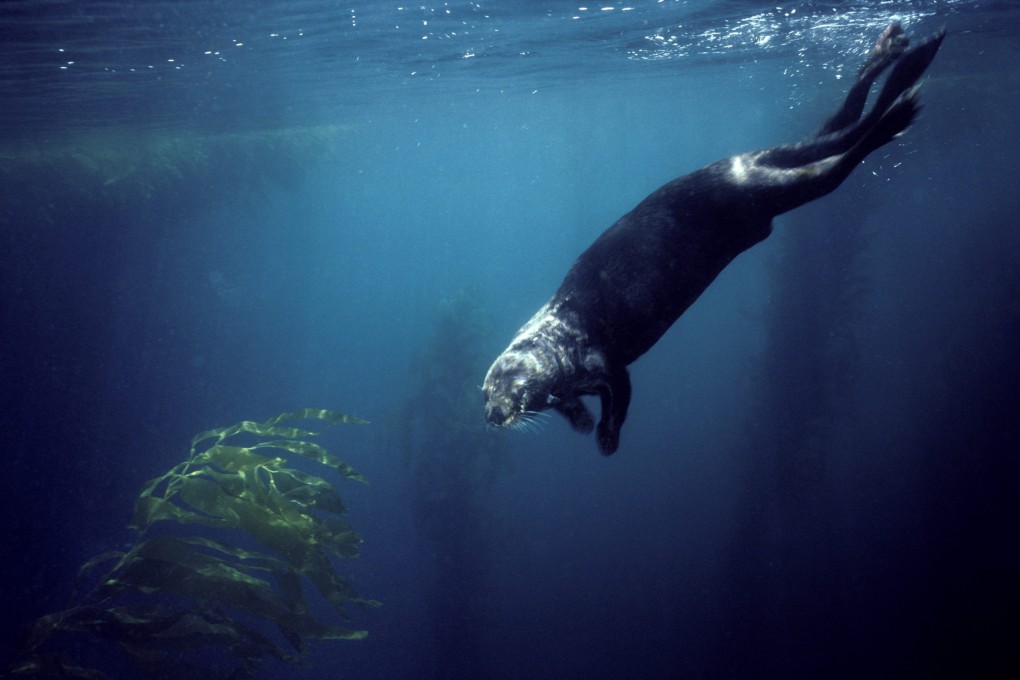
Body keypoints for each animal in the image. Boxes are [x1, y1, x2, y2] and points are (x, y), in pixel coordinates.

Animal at [483, 23, 945, 454]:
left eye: (513, 384)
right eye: (485, 392)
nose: (492, 415)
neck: (560, 337)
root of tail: (742, 165)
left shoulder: (605, 363)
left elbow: (621, 395)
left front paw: (606, 438)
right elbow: (572, 405)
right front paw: (580, 421)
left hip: (765, 192)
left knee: (839, 156)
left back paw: (897, 110)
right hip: (767, 181)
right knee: (834, 129)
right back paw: (895, 54)